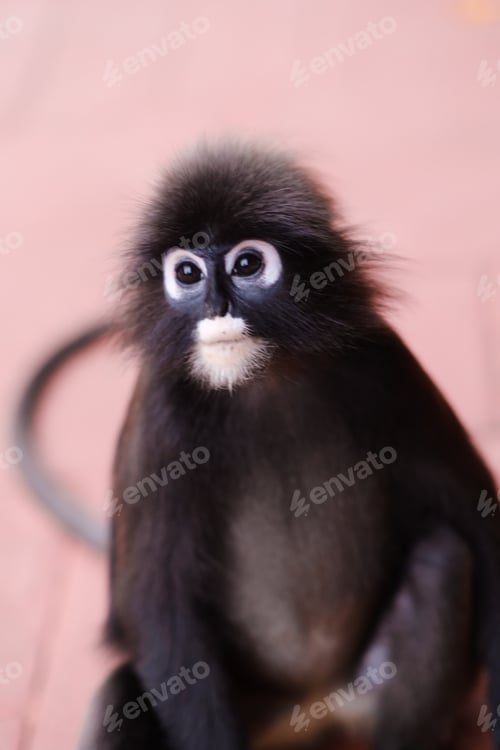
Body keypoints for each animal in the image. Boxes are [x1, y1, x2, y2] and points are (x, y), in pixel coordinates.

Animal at [79, 139, 500, 750]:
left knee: (441, 561)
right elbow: (162, 610)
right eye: (187, 273)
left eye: (247, 265)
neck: (263, 378)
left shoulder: (386, 360)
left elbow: (480, 528)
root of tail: (313, 707)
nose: (216, 309)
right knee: (117, 693)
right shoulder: (159, 411)